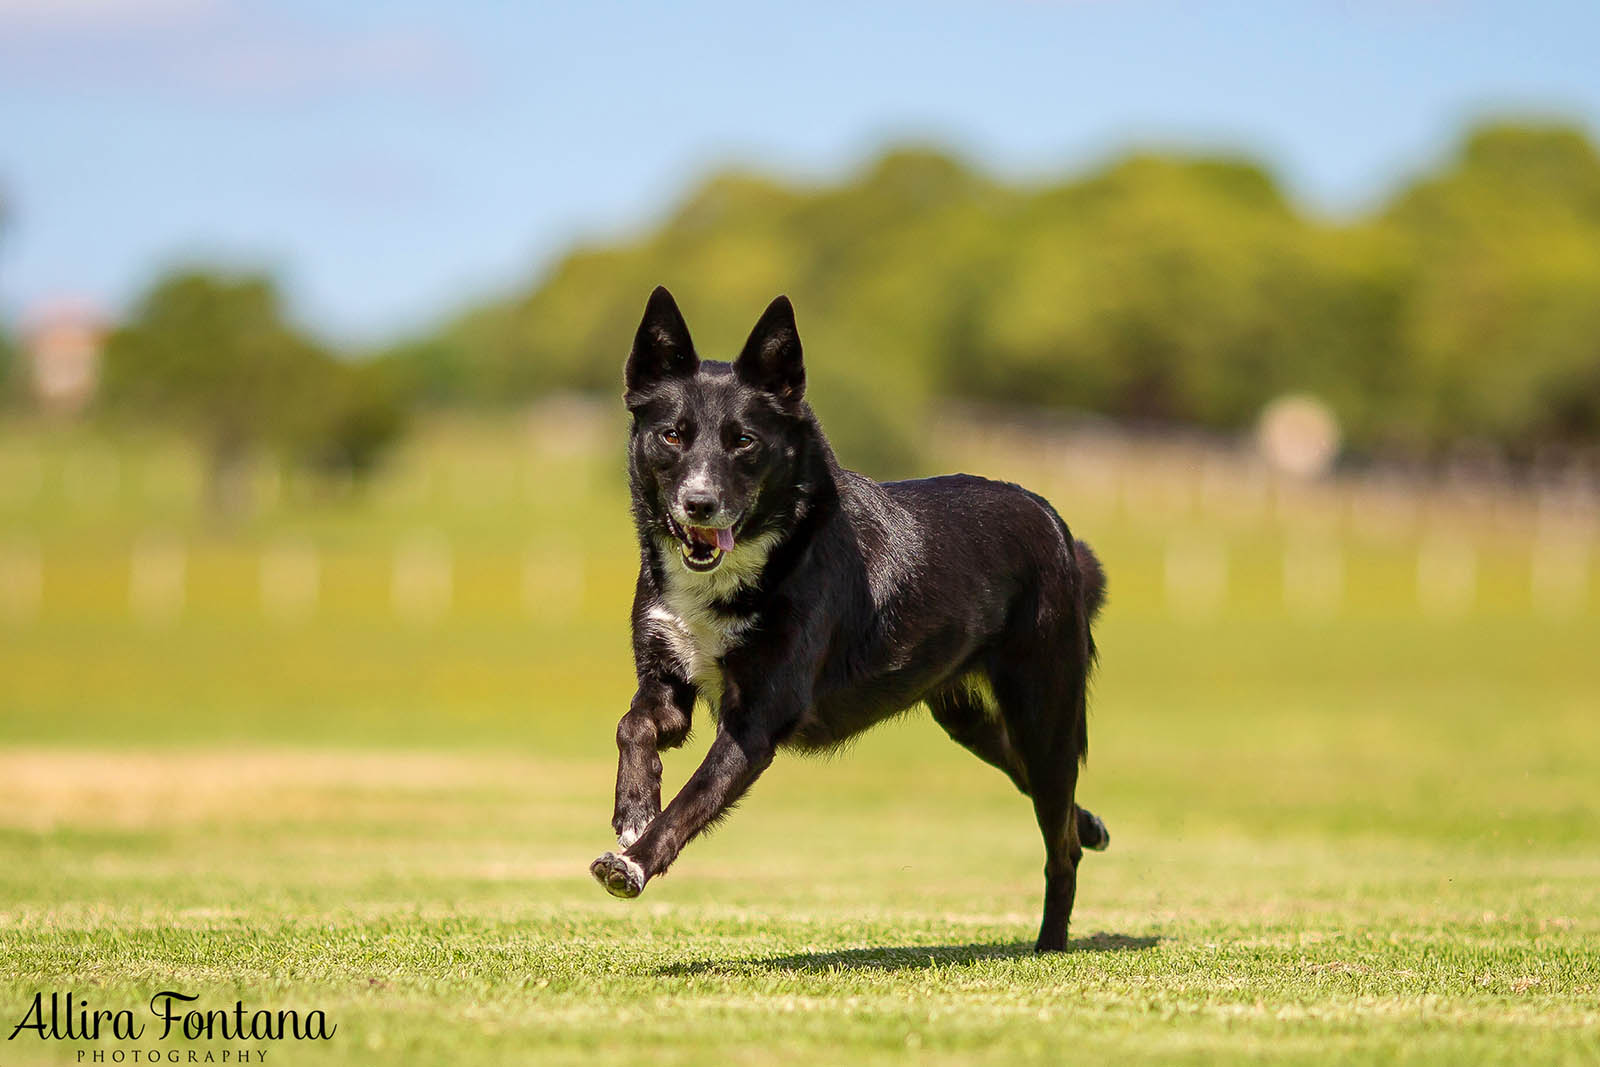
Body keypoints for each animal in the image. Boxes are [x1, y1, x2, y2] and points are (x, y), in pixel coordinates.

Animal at [595, 286, 1107, 953]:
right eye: (672, 436)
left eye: (744, 441)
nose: (699, 504)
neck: (755, 562)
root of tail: (1052, 520)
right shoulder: (666, 680)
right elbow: (633, 725)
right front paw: (633, 811)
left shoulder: (757, 719)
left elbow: (693, 801)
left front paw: (633, 861)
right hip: (971, 720)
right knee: (1051, 800)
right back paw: (1091, 826)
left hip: (1043, 711)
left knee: (1060, 840)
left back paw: (1050, 942)